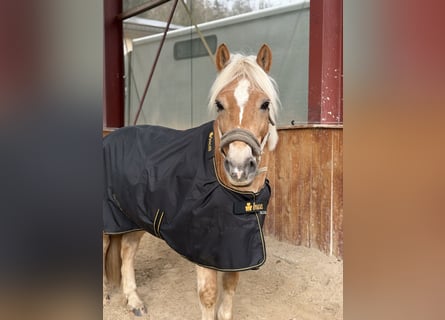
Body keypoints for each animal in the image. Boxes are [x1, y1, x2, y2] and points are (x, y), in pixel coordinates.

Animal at [102, 43, 280, 320]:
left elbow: (229, 292)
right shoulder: (203, 250)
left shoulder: (234, 249)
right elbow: (208, 295)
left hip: (133, 217)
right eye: (219, 104)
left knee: (126, 251)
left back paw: (134, 301)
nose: (239, 167)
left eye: (265, 104)